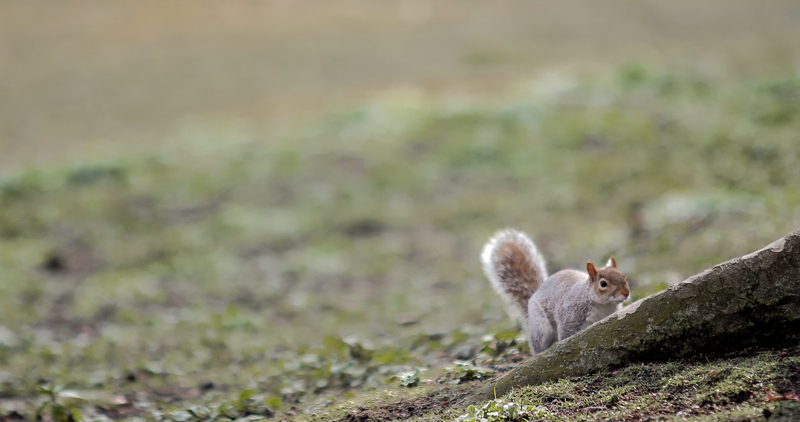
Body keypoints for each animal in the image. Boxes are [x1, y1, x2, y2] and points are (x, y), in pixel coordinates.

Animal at [480, 229, 630, 355]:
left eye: (624, 277)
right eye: (603, 283)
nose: (626, 293)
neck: (603, 305)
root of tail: (533, 296)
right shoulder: (570, 318)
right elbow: (566, 335)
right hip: (540, 329)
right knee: (538, 346)